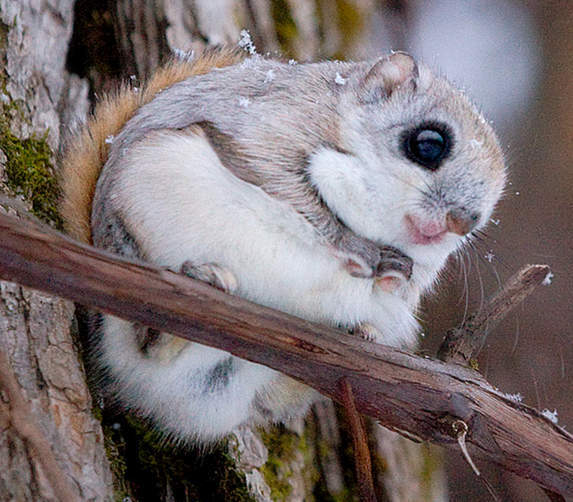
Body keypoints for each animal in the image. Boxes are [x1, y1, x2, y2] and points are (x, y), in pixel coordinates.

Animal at [58, 45, 504, 442]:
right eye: (429, 143)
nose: (463, 222)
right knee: (145, 342)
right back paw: (197, 286)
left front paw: (394, 277)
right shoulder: (272, 130)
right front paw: (358, 249)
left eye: (485, 214)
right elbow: (292, 192)